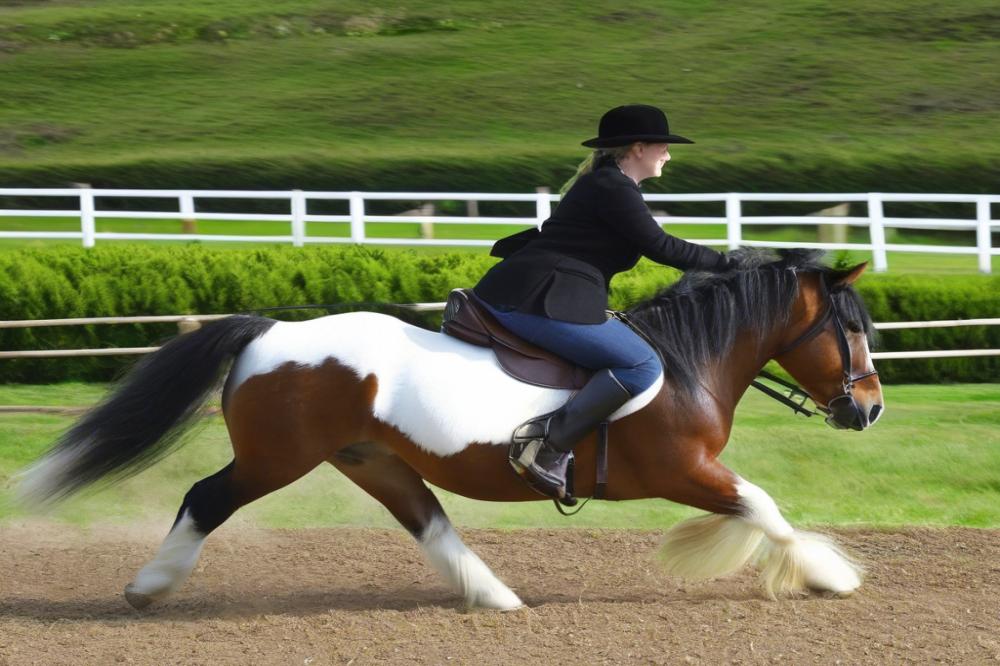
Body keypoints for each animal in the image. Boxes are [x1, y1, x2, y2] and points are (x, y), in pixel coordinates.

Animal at [17, 248, 884, 608]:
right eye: (850, 326)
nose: (870, 408)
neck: (683, 360)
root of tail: (271, 332)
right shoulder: (683, 470)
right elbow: (765, 508)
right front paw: (827, 576)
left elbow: (759, 510)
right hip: (276, 458)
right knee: (204, 499)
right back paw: (147, 587)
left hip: (370, 459)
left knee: (428, 521)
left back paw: (494, 597)